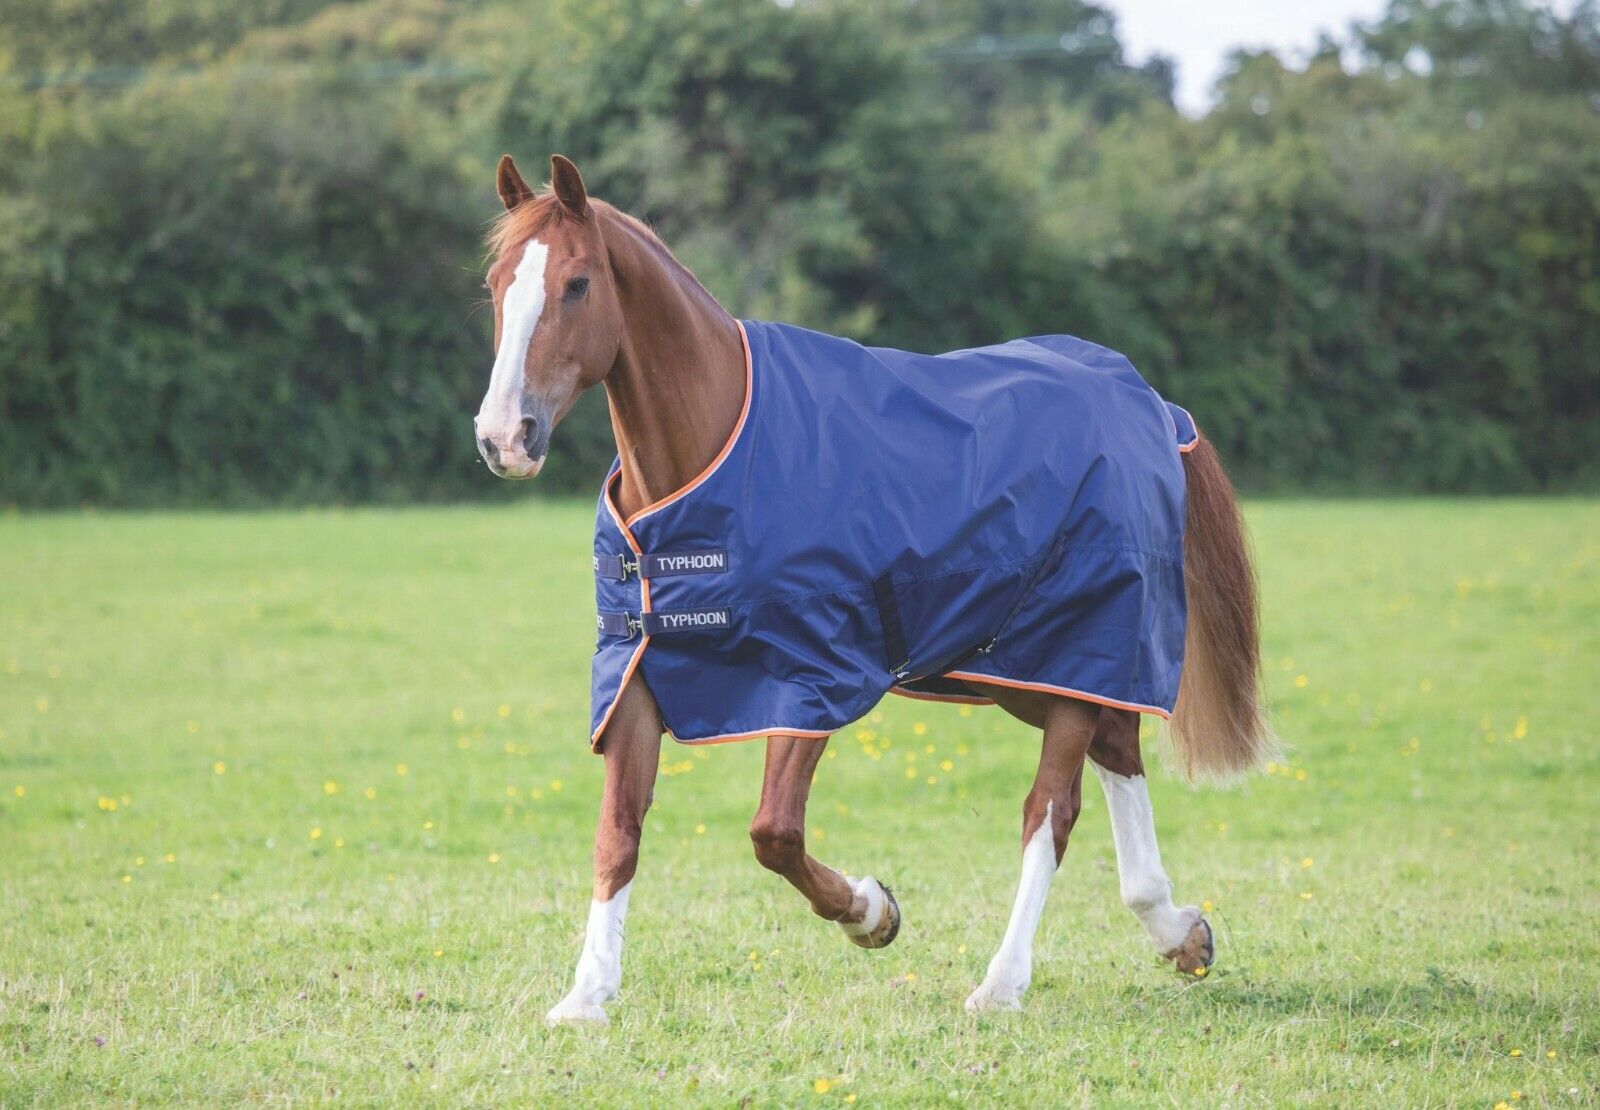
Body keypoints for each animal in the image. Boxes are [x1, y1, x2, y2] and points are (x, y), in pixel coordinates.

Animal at [474, 154, 1274, 1024]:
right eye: (496, 284)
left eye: (578, 284)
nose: (504, 437)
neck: (718, 453)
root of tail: (1149, 404)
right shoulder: (637, 669)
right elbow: (617, 835)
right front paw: (586, 995)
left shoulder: (810, 674)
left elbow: (774, 833)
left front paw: (872, 913)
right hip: (1030, 668)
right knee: (1117, 749)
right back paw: (1178, 931)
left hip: (1073, 648)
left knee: (1050, 811)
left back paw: (1003, 982)